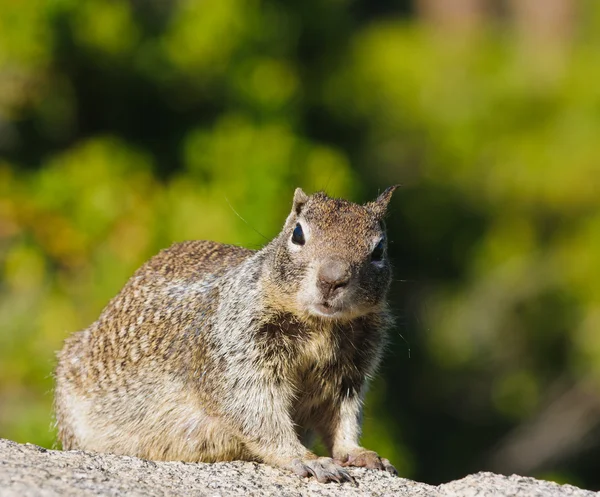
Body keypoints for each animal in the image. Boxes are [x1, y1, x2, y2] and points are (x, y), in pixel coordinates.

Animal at [55, 186, 398, 480]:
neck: (321, 327)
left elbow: (343, 418)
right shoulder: (237, 355)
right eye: (298, 234)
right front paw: (307, 460)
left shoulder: (351, 375)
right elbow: (259, 414)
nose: (332, 279)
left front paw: (359, 453)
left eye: (379, 249)